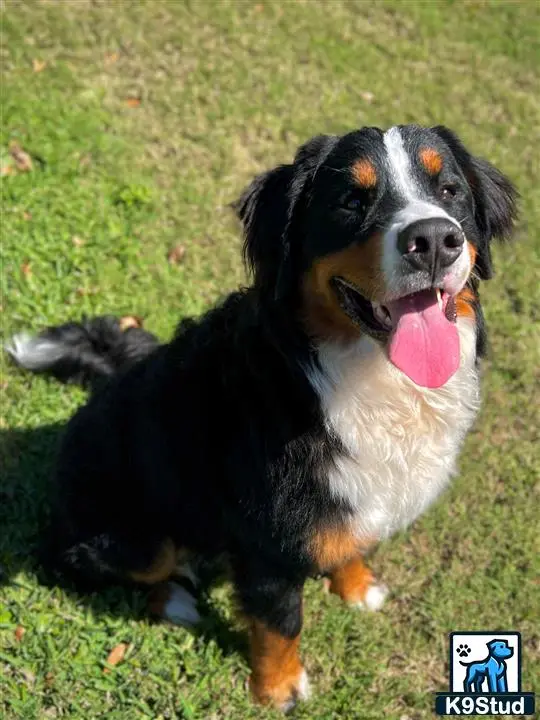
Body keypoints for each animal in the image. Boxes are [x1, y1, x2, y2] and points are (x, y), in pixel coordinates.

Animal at [7, 124, 516, 708]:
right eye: (350, 201)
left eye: (449, 190)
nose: (433, 239)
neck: (368, 378)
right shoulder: (266, 544)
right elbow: (280, 624)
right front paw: (279, 689)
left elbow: (349, 540)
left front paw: (357, 586)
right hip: (127, 535)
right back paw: (175, 599)